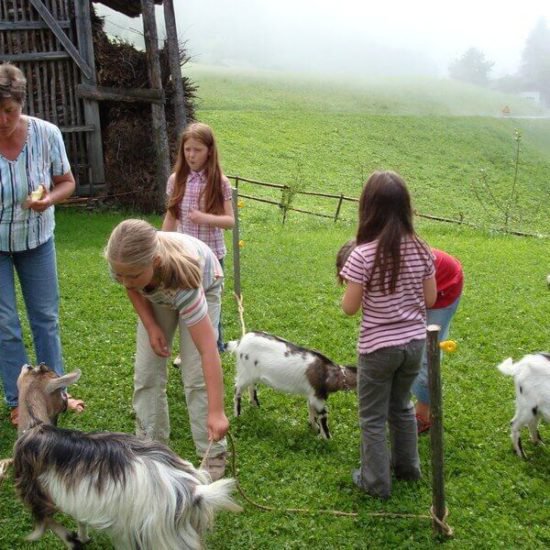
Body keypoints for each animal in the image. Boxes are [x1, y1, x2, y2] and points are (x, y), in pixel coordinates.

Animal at [12, 364, 240, 548]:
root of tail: (193, 491)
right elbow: (80, 518)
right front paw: (83, 537)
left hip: (157, 535)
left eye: (32, 369)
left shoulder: (34, 492)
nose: (26, 364)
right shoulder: (77, 494)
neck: (35, 426)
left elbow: (49, 523)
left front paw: (73, 540)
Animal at [227, 332, 360, 440]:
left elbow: (311, 410)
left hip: (253, 374)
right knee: (237, 390)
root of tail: (239, 343)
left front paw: (314, 427)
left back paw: (256, 406)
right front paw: (327, 438)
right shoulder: (318, 397)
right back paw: (237, 415)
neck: (329, 374)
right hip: (244, 373)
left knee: (251, 387)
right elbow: (323, 415)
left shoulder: (312, 395)